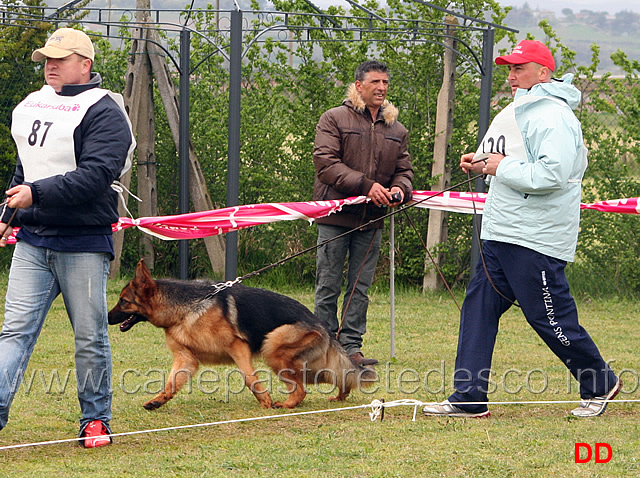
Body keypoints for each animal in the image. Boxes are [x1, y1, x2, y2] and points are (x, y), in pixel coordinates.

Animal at [108, 260, 378, 408]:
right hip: (309, 365)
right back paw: (340, 397)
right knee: (339, 376)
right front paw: (157, 401)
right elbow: (171, 383)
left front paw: (265, 401)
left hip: (273, 349)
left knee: (302, 389)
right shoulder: (186, 359)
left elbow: (250, 379)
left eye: (123, 302)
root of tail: (321, 324)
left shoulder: (238, 347)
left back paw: (286, 404)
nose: (107, 318)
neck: (186, 308)